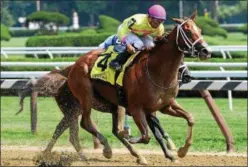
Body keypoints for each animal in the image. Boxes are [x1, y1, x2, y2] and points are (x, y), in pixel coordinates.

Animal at [66, 9, 211, 164]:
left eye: (200, 30)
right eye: (188, 31)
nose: (206, 51)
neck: (157, 72)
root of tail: (76, 63)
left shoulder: (165, 106)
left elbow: (189, 118)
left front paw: (181, 151)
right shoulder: (136, 108)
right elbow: (146, 135)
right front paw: (132, 137)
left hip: (113, 103)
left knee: (115, 130)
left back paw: (137, 155)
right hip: (86, 96)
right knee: (86, 123)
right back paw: (108, 149)